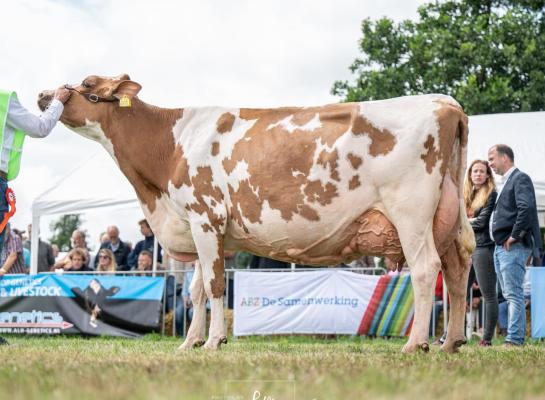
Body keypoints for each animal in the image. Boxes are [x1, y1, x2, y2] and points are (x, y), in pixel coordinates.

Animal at [38, 75, 474, 354]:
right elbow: (196, 290)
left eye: (86, 85)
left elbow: (213, 285)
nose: (43, 94)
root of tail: (445, 103)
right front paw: (189, 342)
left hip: (411, 213)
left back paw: (415, 343)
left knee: (426, 269)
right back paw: (451, 342)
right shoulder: (198, 227)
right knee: (457, 271)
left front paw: (214, 341)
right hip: (449, 220)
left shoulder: (206, 216)